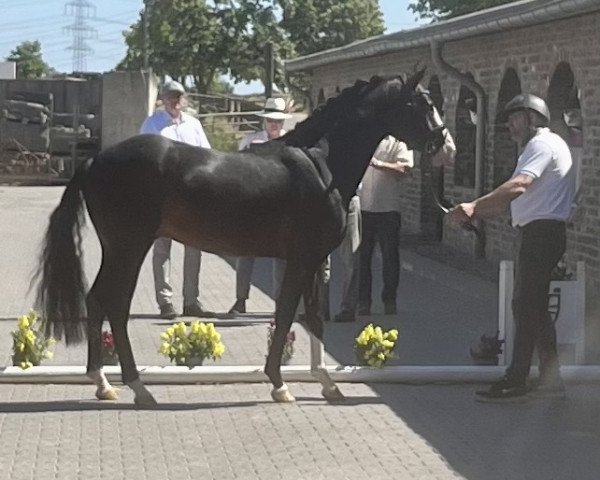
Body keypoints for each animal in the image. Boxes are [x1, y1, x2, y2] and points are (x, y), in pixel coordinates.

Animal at [34, 69, 454, 404]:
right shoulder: (301, 259)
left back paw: (104, 384)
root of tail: (94, 160)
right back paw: (135, 387)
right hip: (129, 247)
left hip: (120, 249)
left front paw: (327, 384)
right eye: (421, 102)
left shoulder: (314, 260)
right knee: (113, 304)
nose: (444, 146)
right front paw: (280, 385)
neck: (321, 165)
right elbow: (285, 317)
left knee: (99, 301)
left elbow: (313, 318)